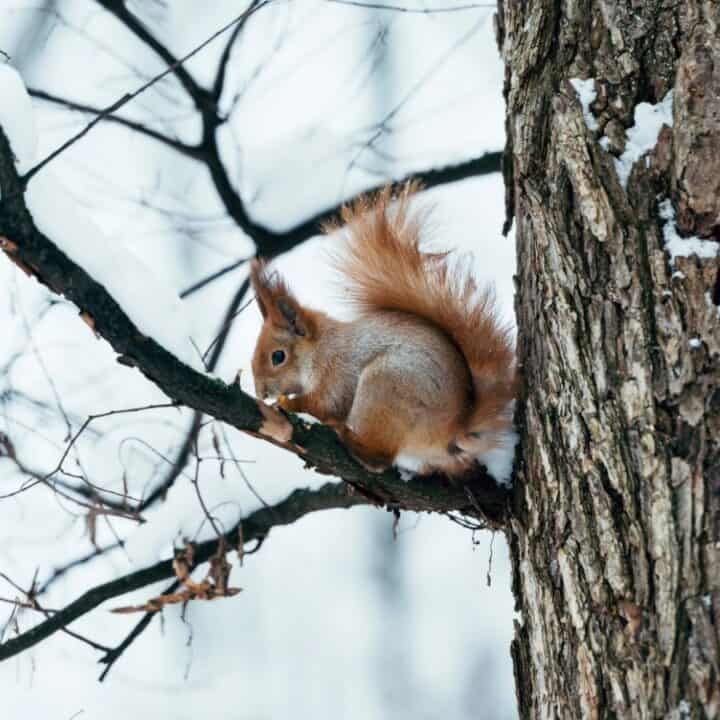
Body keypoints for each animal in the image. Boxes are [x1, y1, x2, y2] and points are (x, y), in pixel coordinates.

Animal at [249, 183, 518, 481]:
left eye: (278, 356)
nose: (260, 392)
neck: (320, 348)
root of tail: (452, 430)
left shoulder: (337, 371)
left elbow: (324, 405)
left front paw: (289, 404)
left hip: (384, 388)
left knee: (379, 458)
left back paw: (348, 437)